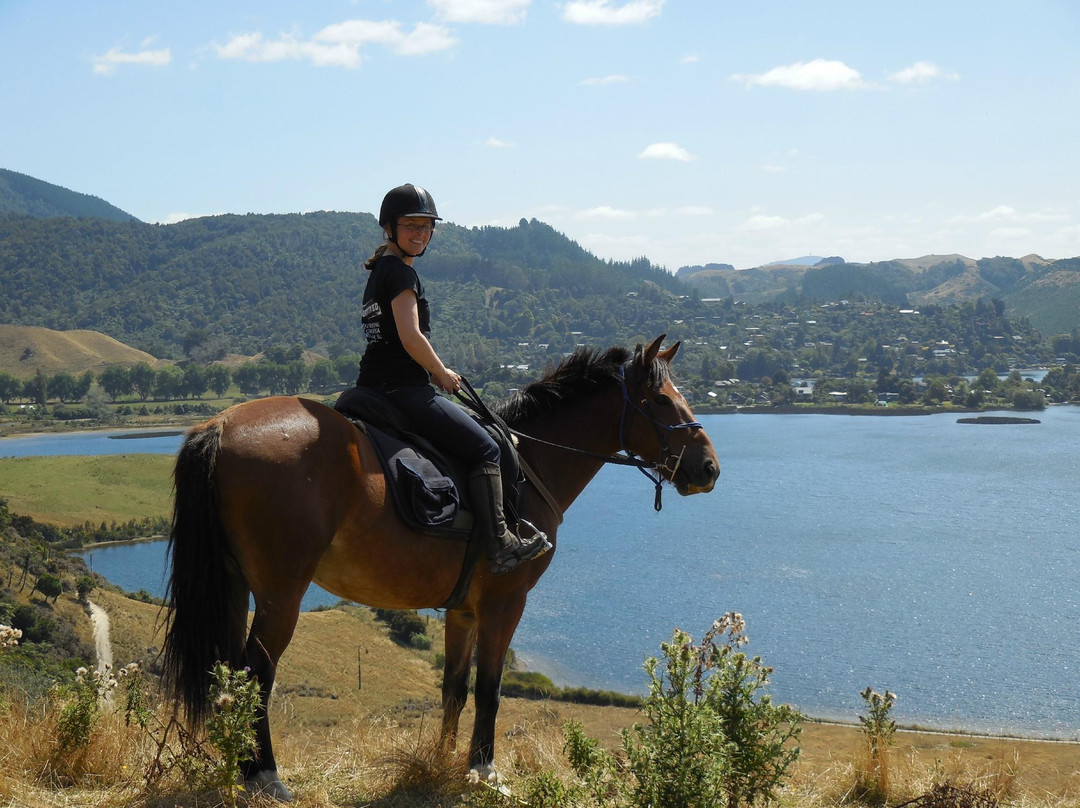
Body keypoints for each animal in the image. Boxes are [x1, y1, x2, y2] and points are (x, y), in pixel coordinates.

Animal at [161, 335, 720, 800]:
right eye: (662, 400)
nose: (709, 468)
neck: (526, 465)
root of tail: (217, 425)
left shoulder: (463, 611)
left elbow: (454, 688)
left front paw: (441, 760)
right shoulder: (504, 604)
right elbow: (490, 689)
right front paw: (483, 770)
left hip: (234, 587)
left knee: (227, 676)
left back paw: (237, 767)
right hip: (281, 597)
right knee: (254, 675)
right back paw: (265, 776)